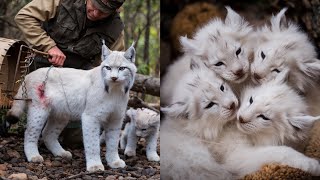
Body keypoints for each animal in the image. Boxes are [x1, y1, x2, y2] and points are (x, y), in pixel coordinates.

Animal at [5, 40, 136, 172]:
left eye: (122, 68)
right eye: (108, 68)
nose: (113, 78)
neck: (115, 89)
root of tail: (28, 75)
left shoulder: (116, 118)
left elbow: (113, 142)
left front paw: (114, 161)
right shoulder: (90, 116)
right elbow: (92, 142)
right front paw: (95, 166)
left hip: (61, 113)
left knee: (47, 133)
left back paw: (61, 153)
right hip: (39, 108)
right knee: (29, 132)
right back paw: (33, 156)